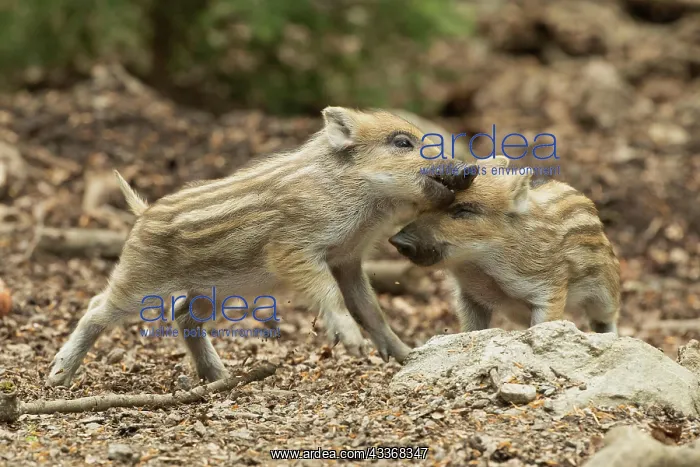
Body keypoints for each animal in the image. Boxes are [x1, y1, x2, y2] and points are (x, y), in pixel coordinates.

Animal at [46, 107, 477, 387]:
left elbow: (371, 310)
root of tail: (143, 212)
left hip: (215, 289)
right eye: (402, 142)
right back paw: (57, 378)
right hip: (141, 278)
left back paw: (220, 378)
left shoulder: (348, 259)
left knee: (184, 316)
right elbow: (331, 296)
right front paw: (352, 345)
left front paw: (407, 356)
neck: (361, 199)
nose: (469, 169)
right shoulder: (294, 251)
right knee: (97, 308)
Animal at [389, 156, 620, 334]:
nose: (397, 241)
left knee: (605, 319)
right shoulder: (469, 296)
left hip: (605, 292)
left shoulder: (549, 290)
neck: (480, 267)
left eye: (464, 210)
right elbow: (471, 329)